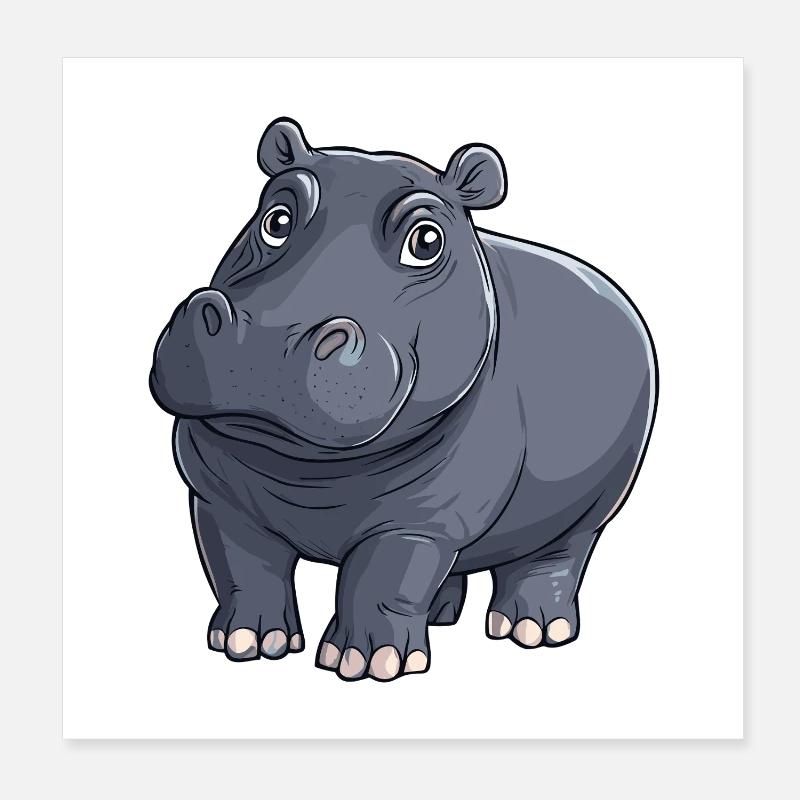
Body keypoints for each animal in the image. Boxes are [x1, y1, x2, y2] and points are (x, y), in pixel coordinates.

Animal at [149, 118, 658, 682]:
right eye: (277, 217)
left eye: (427, 239)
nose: (268, 334)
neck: (307, 473)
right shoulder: (218, 497)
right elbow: (242, 567)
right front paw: (247, 644)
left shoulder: (421, 519)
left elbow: (384, 578)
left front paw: (366, 663)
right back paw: (441, 616)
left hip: (590, 510)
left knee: (554, 557)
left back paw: (531, 630)